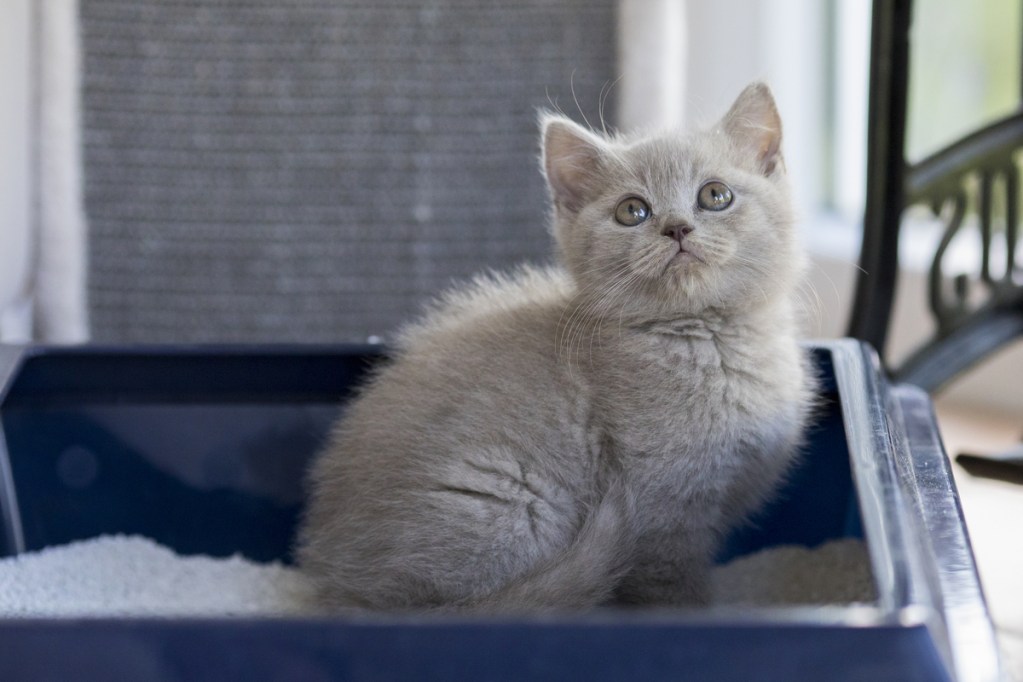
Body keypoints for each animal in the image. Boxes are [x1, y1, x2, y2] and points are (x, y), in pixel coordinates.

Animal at [296, 83, 814, 613]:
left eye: (715, 195)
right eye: (633, 211)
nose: (676, 227)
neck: (710, 339)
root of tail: (340, 590)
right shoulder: (665, 518)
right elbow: (671, 593)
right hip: (516, 500)